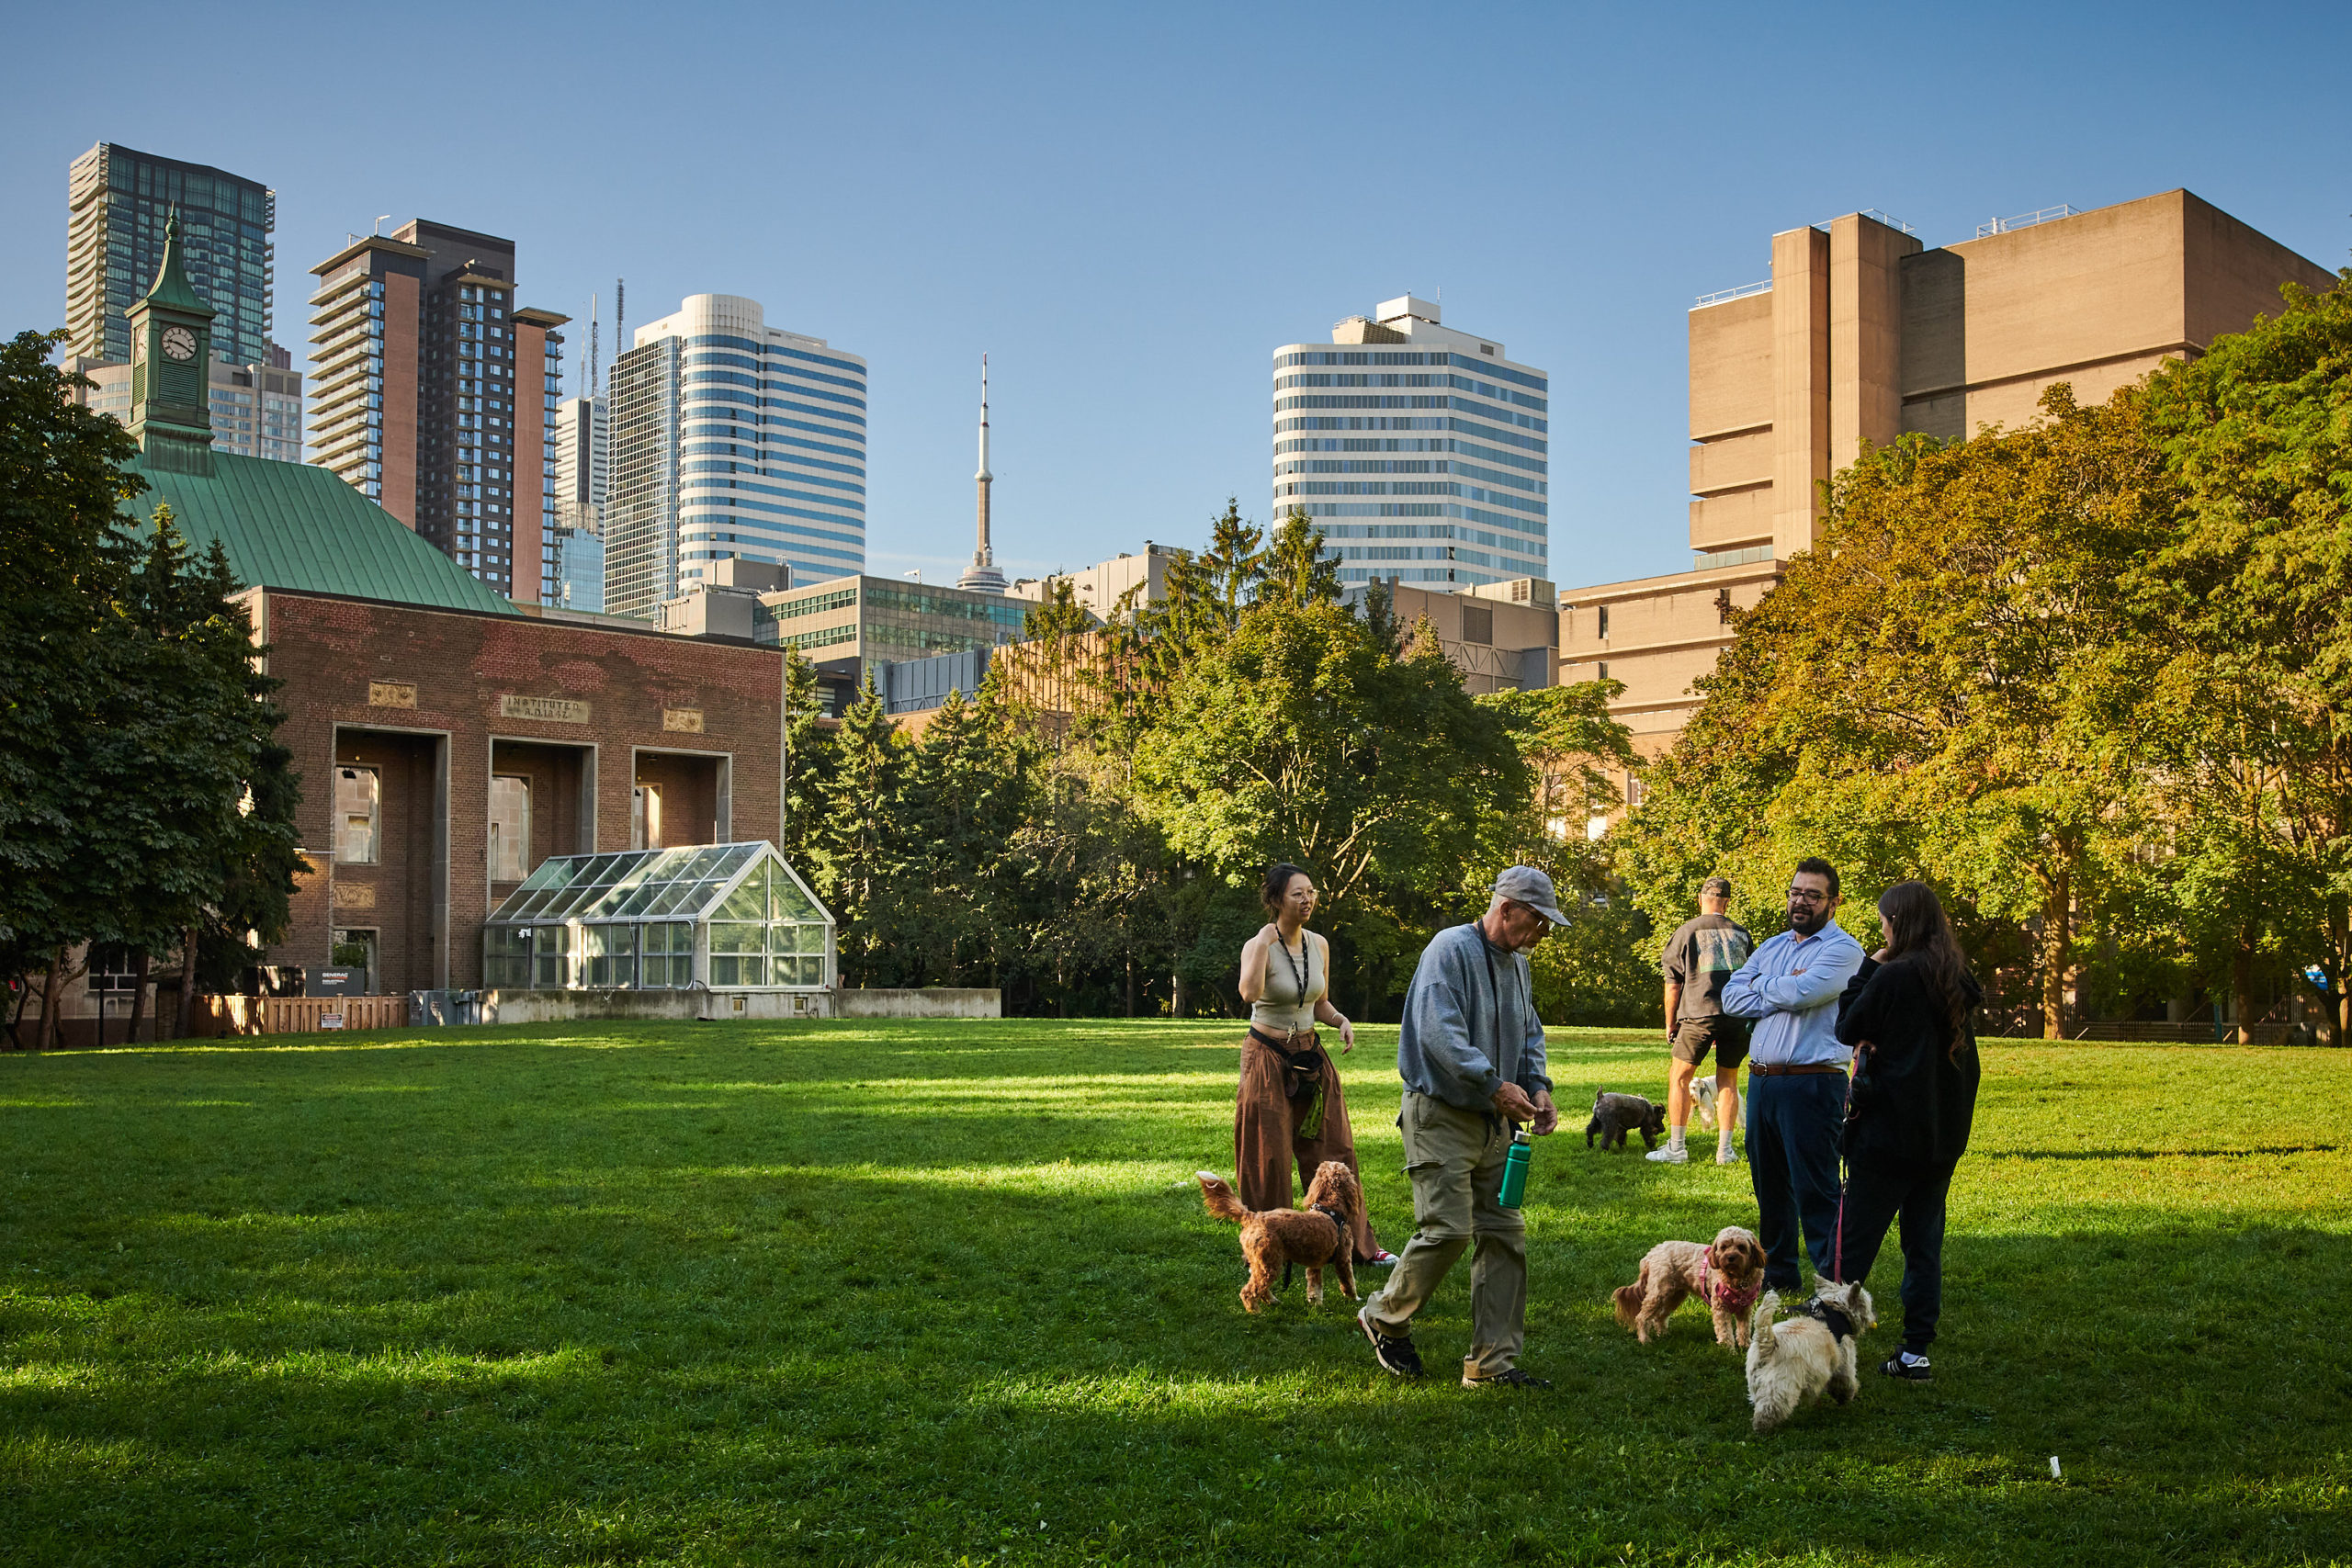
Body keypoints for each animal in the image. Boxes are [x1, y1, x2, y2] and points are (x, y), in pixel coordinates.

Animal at [1194, 1161, 1363, 1316]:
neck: (1330, 1209)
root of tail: (1252, 1216)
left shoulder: (1314, 1264)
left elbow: (1315, 1288)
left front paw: (1316, 1305)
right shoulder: (1343, 1258)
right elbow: (1349, 1282)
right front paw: (1355, 1299)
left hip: (1262, 1262)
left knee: (1260, 1287)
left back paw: (1272, 1301)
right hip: (1270, 1264)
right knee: (1249, 1292)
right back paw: (1255, 1312)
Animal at [1618, 1222, 1769, 1354]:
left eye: (1741, 1247)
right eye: (1723, 1247)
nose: (1730, 1257)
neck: (1737, 1279)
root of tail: (1651, 1254)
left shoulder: (1745, 1309)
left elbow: (1744, 1330)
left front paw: (1746, 1347)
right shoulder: (1721, 1308)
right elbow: (1725, 1332)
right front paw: (1728, 1351)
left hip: (1675, 1296)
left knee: (1660, 1316)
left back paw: (1664, 1334)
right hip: (1659, 1293)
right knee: (1642, 1317)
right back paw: (1644, 1339)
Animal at [1740, 1279, 1882, 1429]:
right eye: (1869, 1304)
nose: (1875, 1313)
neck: (1836, 1312)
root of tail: (1769, 1343)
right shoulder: (1844, 1361)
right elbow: (1846, 1381)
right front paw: (1846, 1398)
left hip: (1755, 1380)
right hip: (1780, 1386)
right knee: (1769, 1409)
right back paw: (1765, 1427)